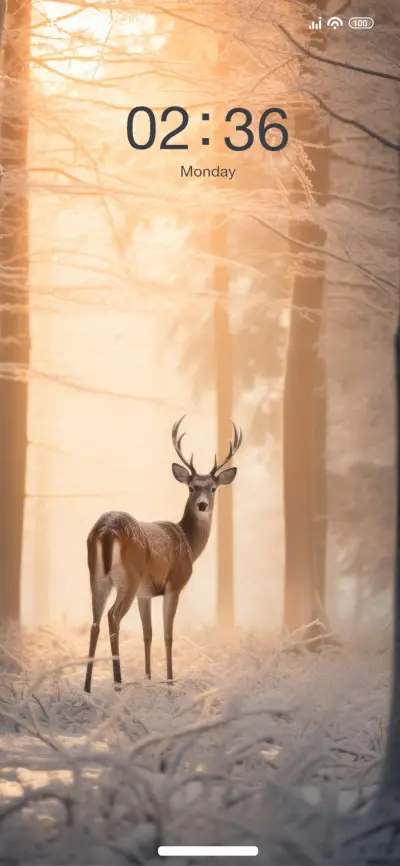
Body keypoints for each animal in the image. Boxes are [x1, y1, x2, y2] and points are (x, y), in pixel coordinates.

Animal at [84, 416, 242, 693]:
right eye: (191, 487)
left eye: (213, 488)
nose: (202, 505)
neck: (188, 542)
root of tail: (106, 530)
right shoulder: (174, 584)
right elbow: (168, 634)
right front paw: (169, 681)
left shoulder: (145, 594)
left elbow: (148, 634)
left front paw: (148, 678)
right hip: (129, 577)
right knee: (113, 617)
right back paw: (117, 682)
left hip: (97, 575)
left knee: (95, 621)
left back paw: (87, 687)